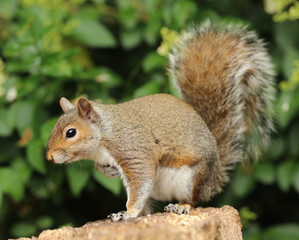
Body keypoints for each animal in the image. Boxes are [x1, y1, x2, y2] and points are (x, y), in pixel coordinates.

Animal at [46, 20, 276, 221]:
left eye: (70, 133)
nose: (49, 157)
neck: (105, 134)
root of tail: (215, 173)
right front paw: (107, 172)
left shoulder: (134, 150)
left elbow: (141, 179)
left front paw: (128, 213)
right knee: (149, 204)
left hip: (191, 179)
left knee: (193, 200)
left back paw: (180, 206)